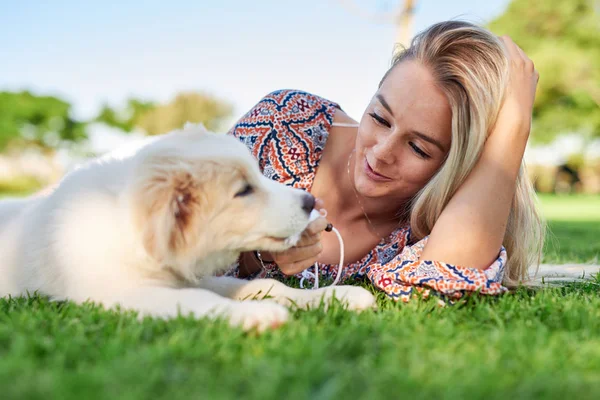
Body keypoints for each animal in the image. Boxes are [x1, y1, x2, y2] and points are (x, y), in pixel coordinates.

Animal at [0, 123, 376, 330]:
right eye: (243, 190)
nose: (310, 202)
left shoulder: (194, 274)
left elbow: (265, 285)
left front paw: (337, 296)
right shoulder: (114, 294)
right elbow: (196, 300)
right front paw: (255, 316)